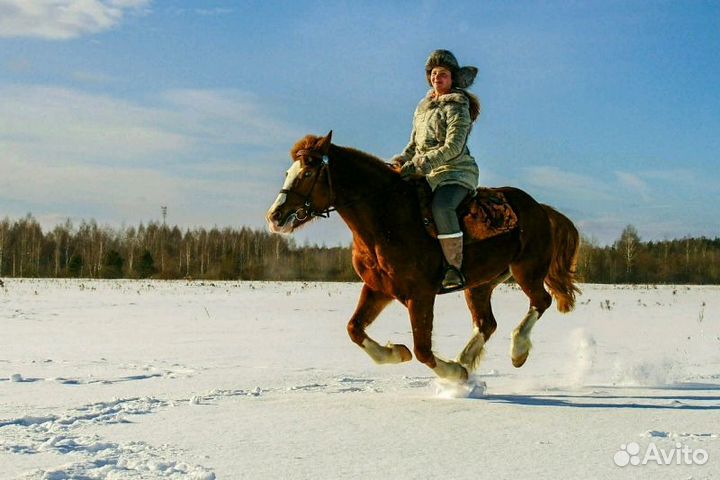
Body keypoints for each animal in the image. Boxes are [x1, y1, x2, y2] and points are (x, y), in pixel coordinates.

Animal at [266, 131, 580, 382]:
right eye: (287, 172)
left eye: (308, 173)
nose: (275, 217)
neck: (386, 219)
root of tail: (540, 208)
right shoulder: (379, 289)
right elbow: (354, 329)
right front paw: (397, 353)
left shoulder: (420, 295)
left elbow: (423, 350)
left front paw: (451, 373)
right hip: (481, 284)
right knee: (487, 323)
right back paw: (465, 360)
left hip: (527, 270)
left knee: (541, 301)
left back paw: (515, 351)